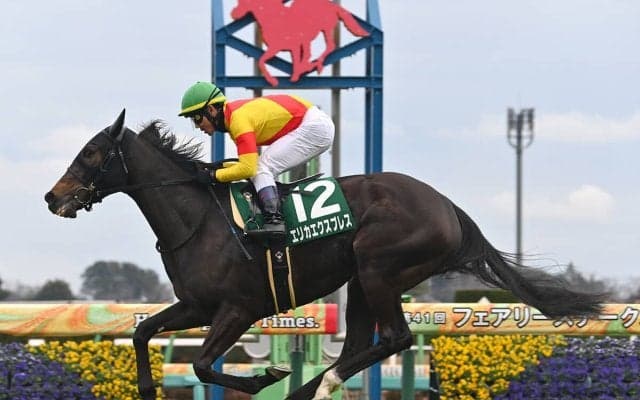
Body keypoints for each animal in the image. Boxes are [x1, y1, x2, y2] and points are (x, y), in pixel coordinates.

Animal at [45, 110, 605, 400]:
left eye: (91, 153)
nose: (53, 196)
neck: (198, 218)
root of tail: (447, 205)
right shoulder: (197, 305)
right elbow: (142, 332)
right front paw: (145, 386)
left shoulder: (237, 308)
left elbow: (204, 365)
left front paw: (265, 377)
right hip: (360, 279)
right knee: (360, 342)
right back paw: (312, 387)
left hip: (379, 267)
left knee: (394, 338)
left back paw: (311, 385)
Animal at [231, 0, 369, 86]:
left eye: (244, 1)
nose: (233, 14)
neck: (275, 18)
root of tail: (332, 5)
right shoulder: (278, 47)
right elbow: (262, 60)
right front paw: (276, 81)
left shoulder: (290, 46)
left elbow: (296, 62)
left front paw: (290, 77)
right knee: (311, 52)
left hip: (326, 28)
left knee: (330, 46)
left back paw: (317, 65)